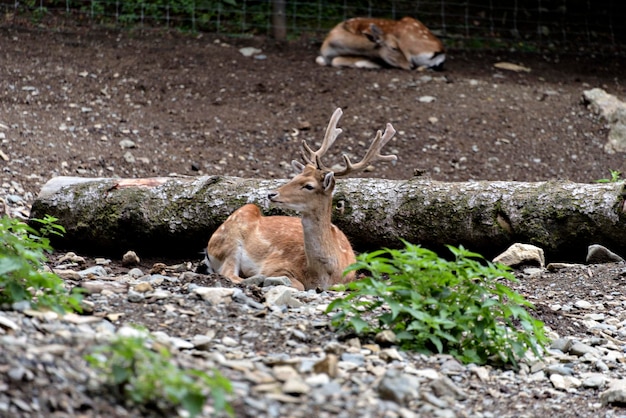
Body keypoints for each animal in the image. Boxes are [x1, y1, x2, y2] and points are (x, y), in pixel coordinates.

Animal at [202, 108, 398, 290]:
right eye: (294, 177)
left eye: (309, 186)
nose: (272, 194)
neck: (324, 274)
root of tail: (208, 247)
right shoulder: (275, 266)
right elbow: (297, 284)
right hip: (232, 237)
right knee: (228, 273)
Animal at [316, 16, 444, 70]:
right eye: (394, 48)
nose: (410, 66)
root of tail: (440, 50)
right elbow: (319, 60)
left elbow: (336, 61)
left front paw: (366, 64)